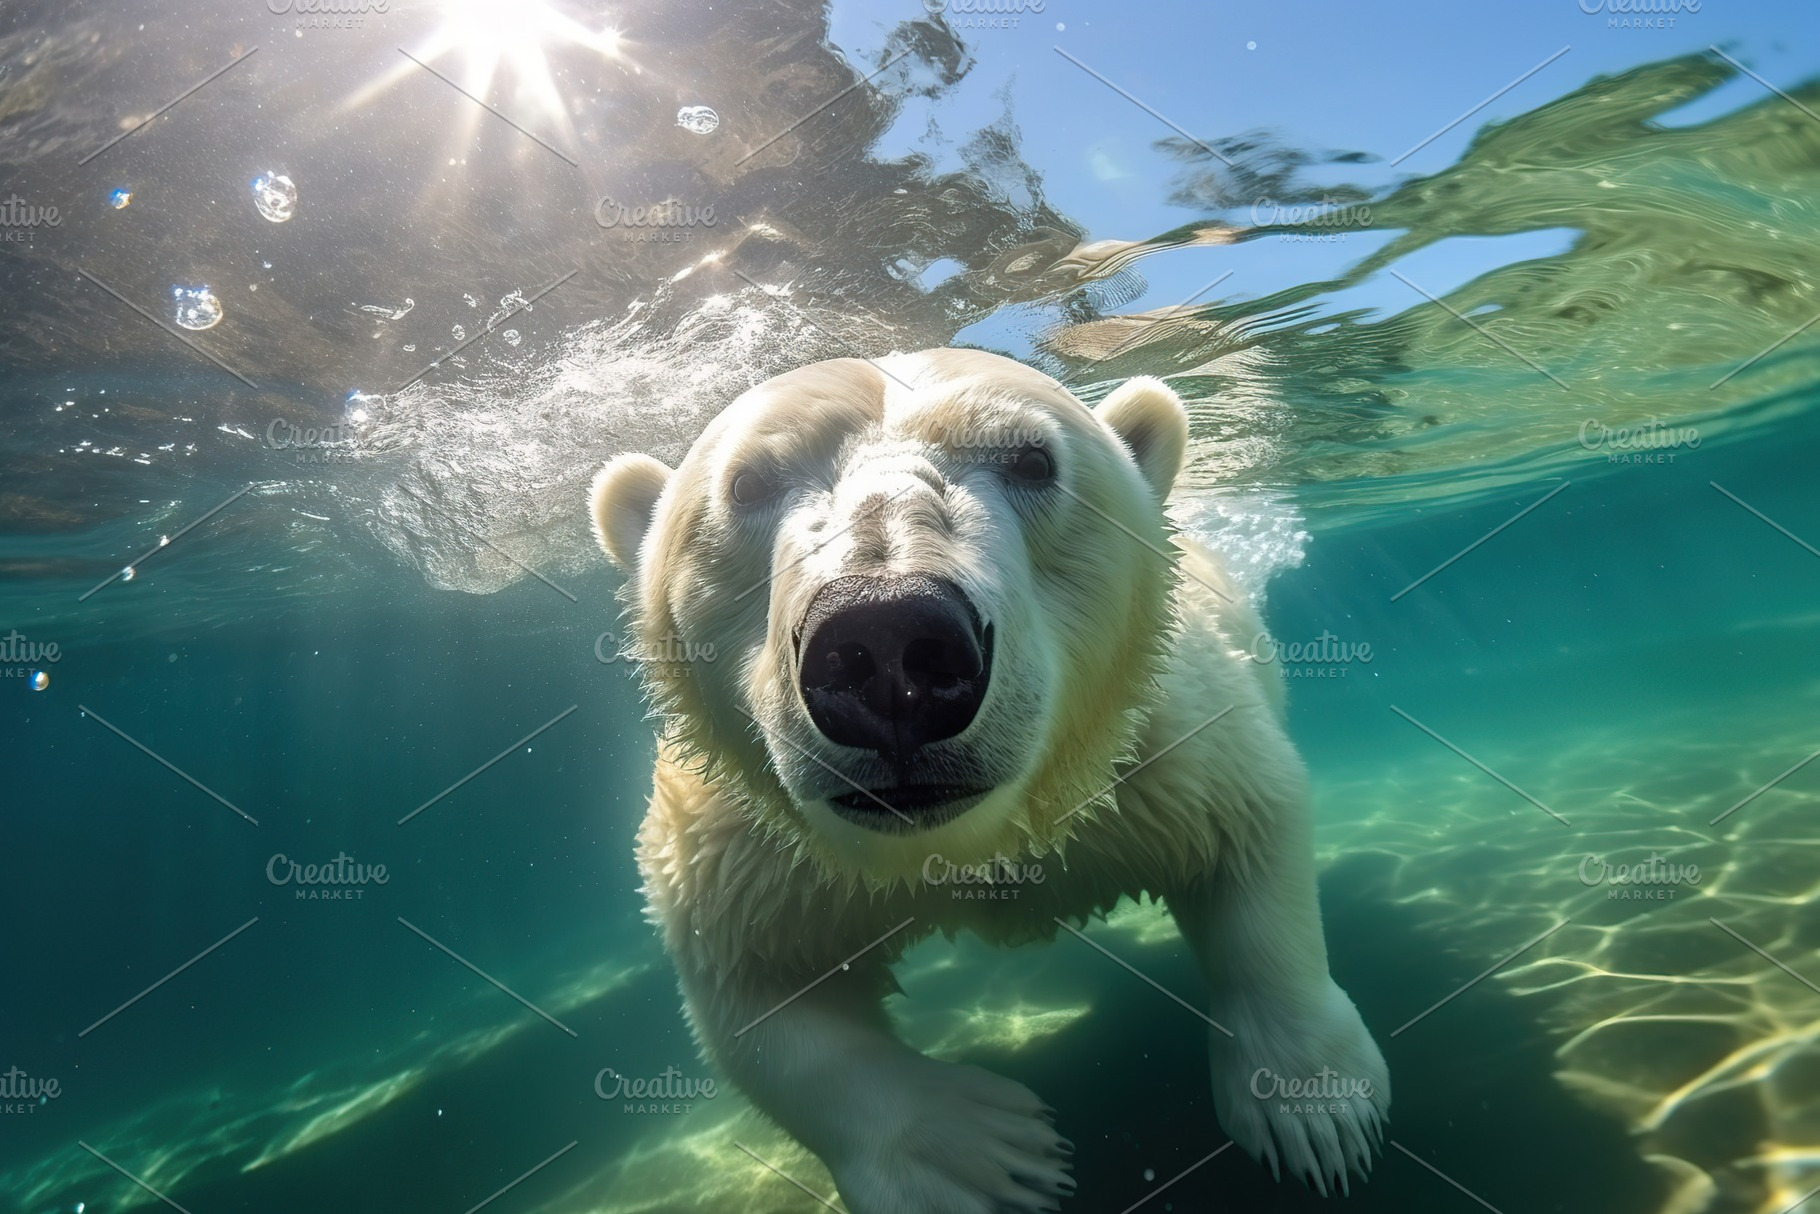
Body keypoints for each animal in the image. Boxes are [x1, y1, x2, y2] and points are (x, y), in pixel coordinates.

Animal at [589, 348, 1389, 1213]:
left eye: (1033, 461)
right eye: (746, 484)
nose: (889, 642)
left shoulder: (1158, 749)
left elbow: (1252, 838)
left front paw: (1317, 1108)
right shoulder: (752, 844)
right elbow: (753, 994)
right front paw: (980, 1157)